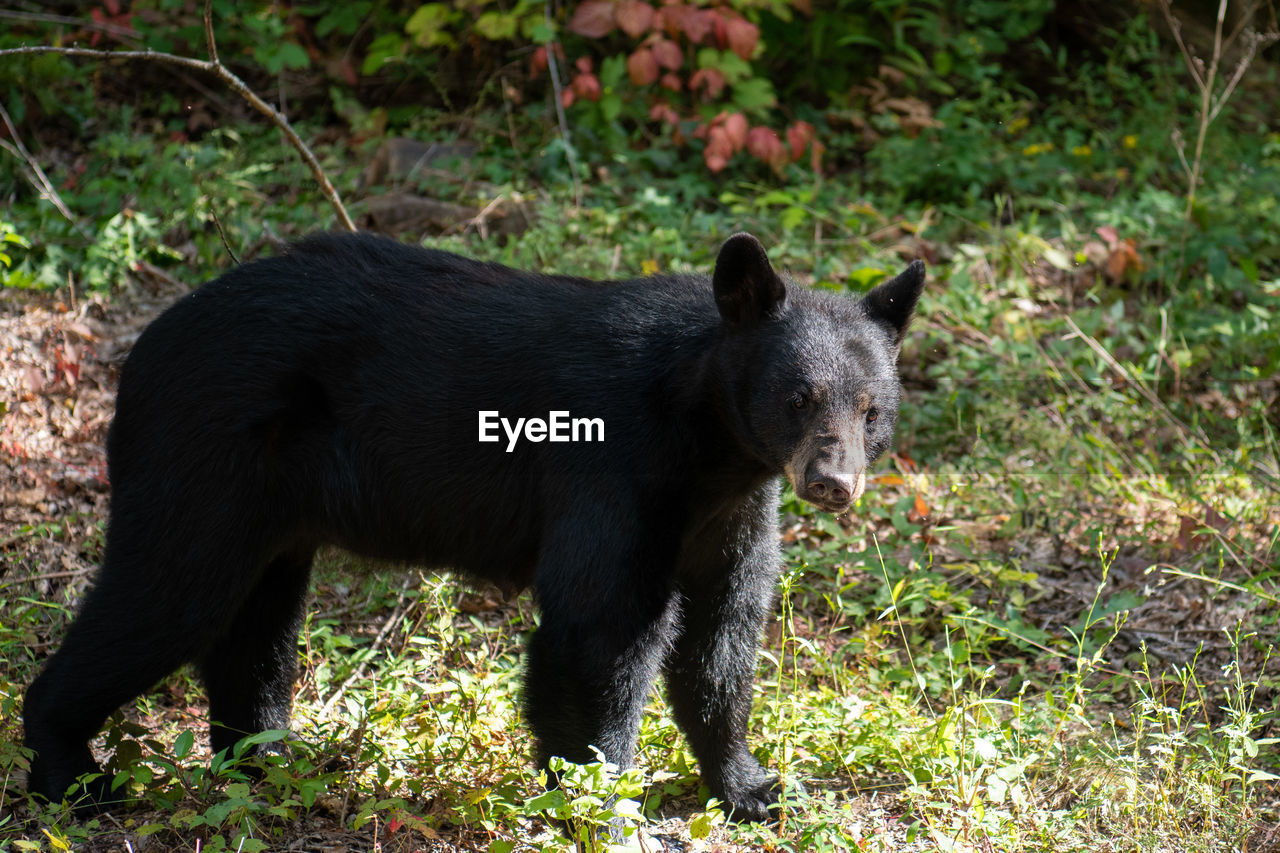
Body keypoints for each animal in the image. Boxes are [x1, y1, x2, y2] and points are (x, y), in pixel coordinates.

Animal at [24, 230, 926, 819]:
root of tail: (140, 349)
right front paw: (604, 804)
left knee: (252, 627)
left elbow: (722, 638)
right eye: (799, 397)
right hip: (204, 455)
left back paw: (270, 760)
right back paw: (74, 773)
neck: (710, 441)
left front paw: (754, 786)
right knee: (168, 592)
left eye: (872, 408)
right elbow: (601, 627)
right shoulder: (613, 469)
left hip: (268, 509)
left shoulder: (729, 512)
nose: (833, 481)